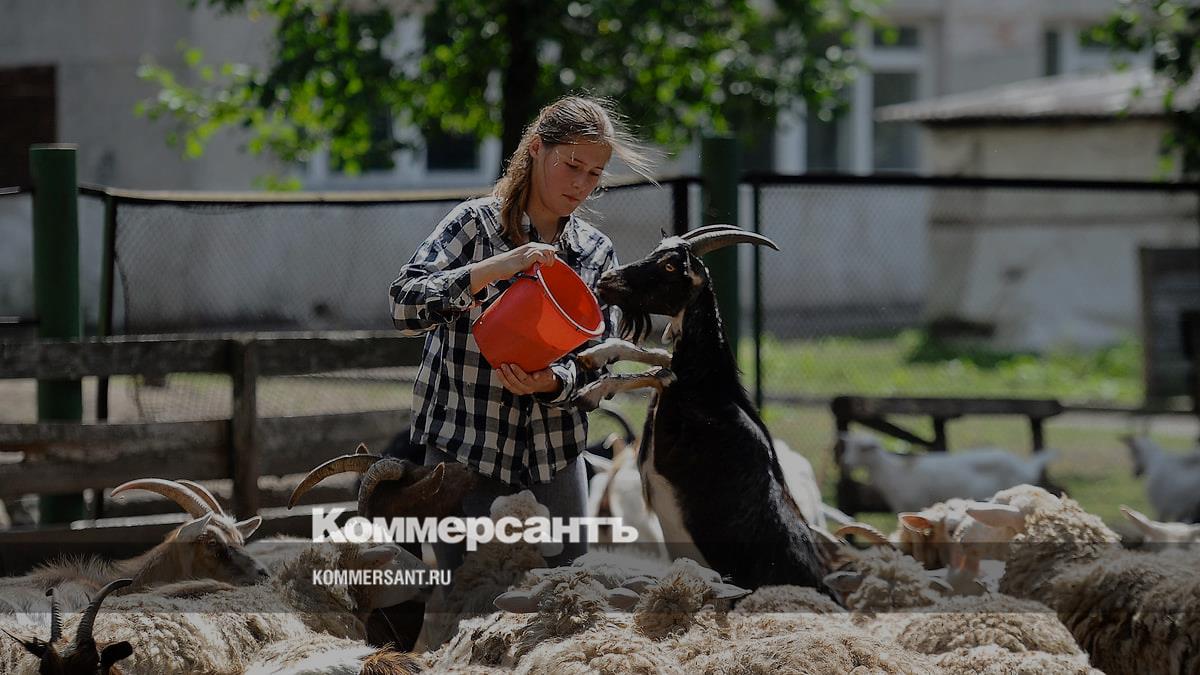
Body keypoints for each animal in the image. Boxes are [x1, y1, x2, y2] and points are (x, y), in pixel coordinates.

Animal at [573, 224, 830, 593]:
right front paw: (598, 354)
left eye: (669, 266)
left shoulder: (673, 441)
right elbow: (660, 359)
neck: (712, 388)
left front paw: (593, 390)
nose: (607, 279)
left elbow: (662, 374)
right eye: (655, 252)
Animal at [839, 433, 1059, 513]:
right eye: (848, 447)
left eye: (863, 449)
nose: (846, 463)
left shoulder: (912, 504)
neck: (894, 472)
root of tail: (1025, 466)